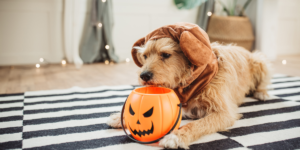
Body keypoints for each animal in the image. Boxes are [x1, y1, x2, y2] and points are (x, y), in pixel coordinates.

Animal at [106, 26, 270, 148]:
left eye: (165, 55)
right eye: (145, 56)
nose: (144, 76)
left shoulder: (224, 113)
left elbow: (197, 124)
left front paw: (176, 137)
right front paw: (119, 117)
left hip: (259, 61)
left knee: (262, 82)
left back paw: (262, 93)